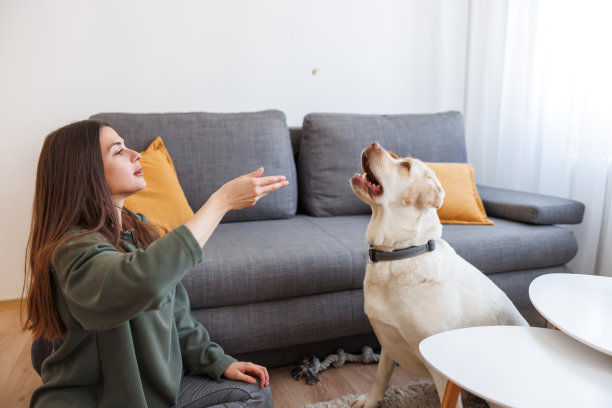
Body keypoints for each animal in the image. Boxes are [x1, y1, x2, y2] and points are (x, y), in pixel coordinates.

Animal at [350, 142, 524, 406]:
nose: (373, 144)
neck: (401, 251)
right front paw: (370, 401)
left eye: (405, 165)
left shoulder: (440, 367)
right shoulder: (388, 343)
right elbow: (380, 377)